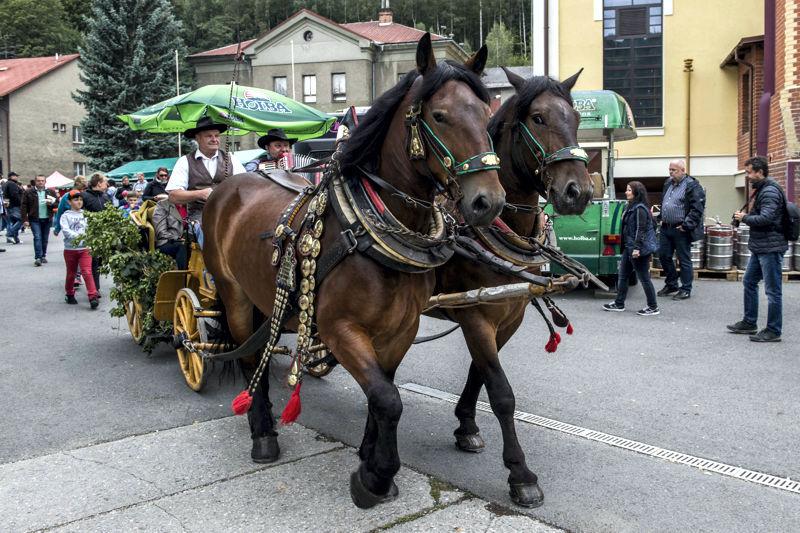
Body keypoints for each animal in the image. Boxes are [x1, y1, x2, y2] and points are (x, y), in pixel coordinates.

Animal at [203, 33, 510, 508]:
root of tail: (230, 184)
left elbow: (383, 393)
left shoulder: (399, 329)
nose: (488, 201)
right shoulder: (339, 328)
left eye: (486, 113)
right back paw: (263, 433)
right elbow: (388, 399)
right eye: (439, 115)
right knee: (251, 356)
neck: (371, 228)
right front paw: (376, 477)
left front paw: (370, 458)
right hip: (232, 293)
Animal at [432, 67, 592, 508]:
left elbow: (479, 373)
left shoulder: (508, 316)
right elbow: (502, 392)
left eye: (576, 117)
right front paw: (520, 473)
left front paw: (466, 426)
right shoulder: (475, 316)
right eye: (538, 118)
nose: (579, 191)